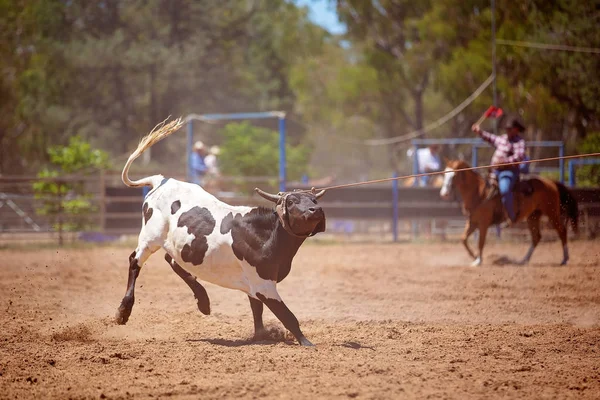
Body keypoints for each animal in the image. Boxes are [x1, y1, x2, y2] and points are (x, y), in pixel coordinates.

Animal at [115, 119, 326, 346]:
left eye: (314, 200)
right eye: (293, 201)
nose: (315, 210)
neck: (266, 235)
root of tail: (162, 181)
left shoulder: (254, 286)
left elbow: (257, 310)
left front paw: (261, 335)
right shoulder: (264, 285)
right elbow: (287, 315)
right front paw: (306, 342)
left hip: (184, 245)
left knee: (172, 260)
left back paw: (204, 301)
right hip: (150, 238)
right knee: (135, 261)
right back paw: (123, 311)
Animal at [440, 159, 576, 266]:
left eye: (453, 175)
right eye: (445, 174)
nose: (444, 193)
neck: (479, 194)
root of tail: (550, 182)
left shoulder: (483, 223)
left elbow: (481, 242)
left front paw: (478, 261)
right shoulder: (472, 222)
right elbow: (463, 239)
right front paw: (474, 256)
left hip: (552, 213)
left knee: (562, 231)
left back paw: (565, 259)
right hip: (533, 216)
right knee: (536, 237)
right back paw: (524, 260)